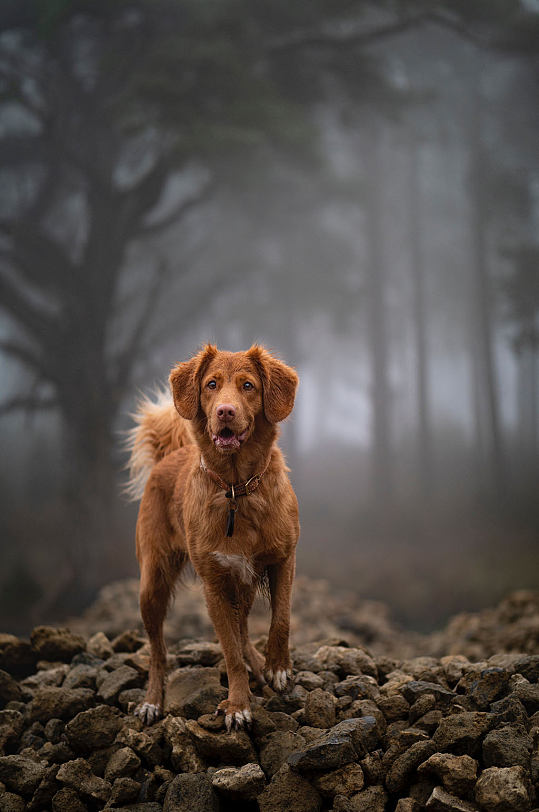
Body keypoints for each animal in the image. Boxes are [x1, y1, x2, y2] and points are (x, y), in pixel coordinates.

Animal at [126, 342, 300, 728]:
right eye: (211, 384)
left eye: (248, 385)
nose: (225, 411)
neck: (237, 489)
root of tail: (171, 453)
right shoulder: (215, 585)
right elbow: (230, 651)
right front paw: (238, 705)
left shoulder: (283, 558)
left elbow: (280, 618)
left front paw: (277, 667)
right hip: (152, 583)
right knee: (158, 652)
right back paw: (152, 701)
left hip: (244, 585)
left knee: (245, 629)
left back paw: (259, 666)